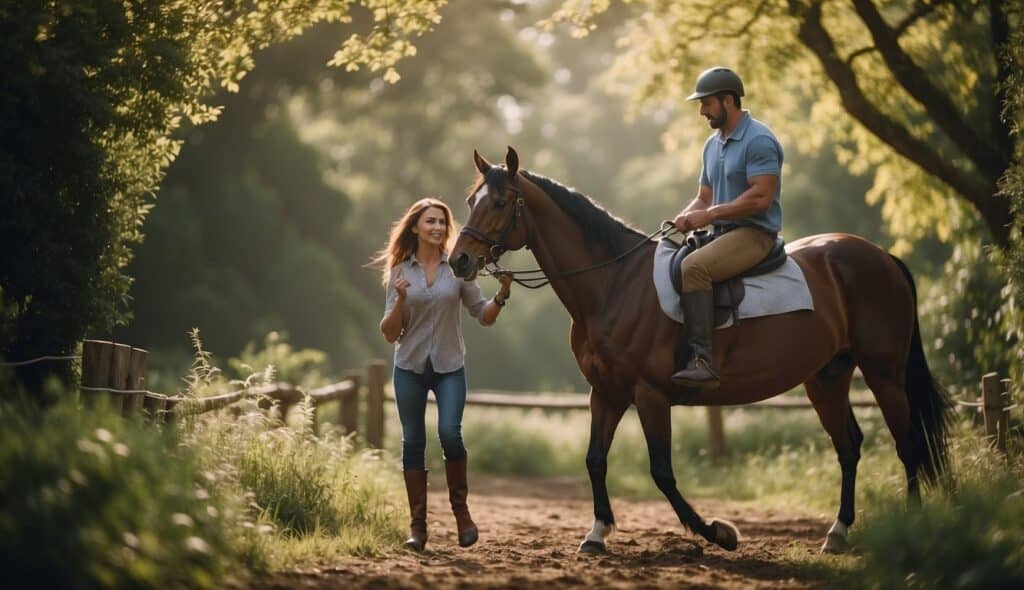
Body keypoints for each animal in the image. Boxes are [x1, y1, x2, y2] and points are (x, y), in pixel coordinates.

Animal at [450, 146, 950, 553]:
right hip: (827, 377)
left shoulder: (649, 395)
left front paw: (718, 532)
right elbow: (594, 460)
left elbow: (661, 471)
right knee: (849, 447)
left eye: (500, 202)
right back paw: (838, 533)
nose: (459, 260)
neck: (614, 284)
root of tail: (880, 256)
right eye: (471, 201)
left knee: (908, 442)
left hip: (884, 373)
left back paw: (912, 527)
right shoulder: (605, 392)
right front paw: (596, 534)